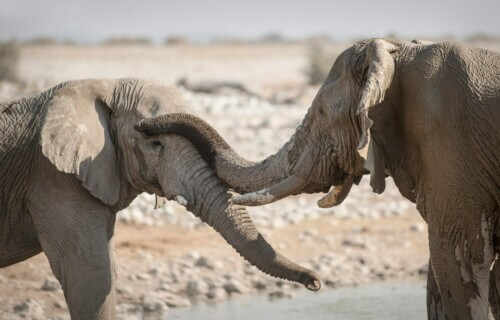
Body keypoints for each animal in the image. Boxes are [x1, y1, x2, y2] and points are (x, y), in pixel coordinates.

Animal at [0, 79, 320, 318]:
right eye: (155, 144)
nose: (315, 282)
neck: (105, 84)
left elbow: (104, 272)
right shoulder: (52, 177)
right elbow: (91, 273)